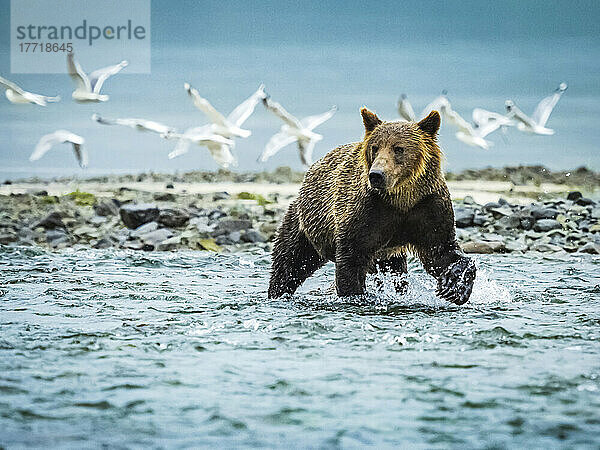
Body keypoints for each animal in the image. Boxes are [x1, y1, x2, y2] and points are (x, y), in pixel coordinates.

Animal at [270, 107, 476, 304]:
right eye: (375, 147)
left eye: (398, 148)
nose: (376, 175)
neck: (401, 199)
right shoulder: (368, 212)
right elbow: (351, 259)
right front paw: (354, 295)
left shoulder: (427, 207)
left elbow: (442, 251)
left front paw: (454, 286)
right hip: (305, 224)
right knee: (290, 263)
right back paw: (278, 292)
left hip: (388, 254)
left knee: (396, 272)